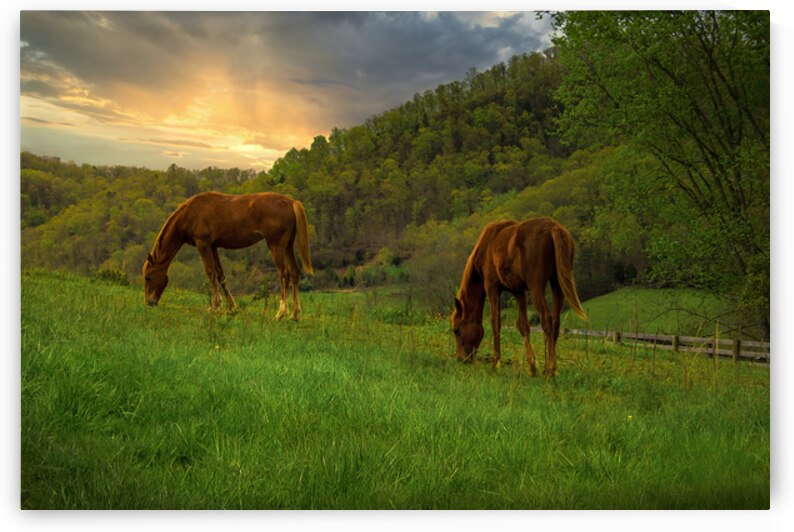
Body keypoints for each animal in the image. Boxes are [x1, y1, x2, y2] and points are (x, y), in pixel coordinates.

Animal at [142, 191, 313, 320]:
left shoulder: (203, 244)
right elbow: (220, 275)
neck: (191, 212)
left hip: (276, 246)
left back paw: (280, 313)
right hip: (288, 246)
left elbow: (210, 273)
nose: (149, 302)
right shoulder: (213, 246)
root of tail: (291, 202)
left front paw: (215, 306)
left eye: (148, 277)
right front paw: (231, 307)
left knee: (284, 275)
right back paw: (294, 314)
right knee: (295, 273)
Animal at [451, 217, 587, 377]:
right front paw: (532, 366)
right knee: (555, 322)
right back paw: (551, 366)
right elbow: (523, 326)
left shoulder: (492, 286)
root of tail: (554, 228)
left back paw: (550, 369)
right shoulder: (519, 291)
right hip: (557, 284)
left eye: (456, 330)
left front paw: (495, 363)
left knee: (547, 320)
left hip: (536, 287)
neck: (487, 245)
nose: (461, 359)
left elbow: (495, 323)